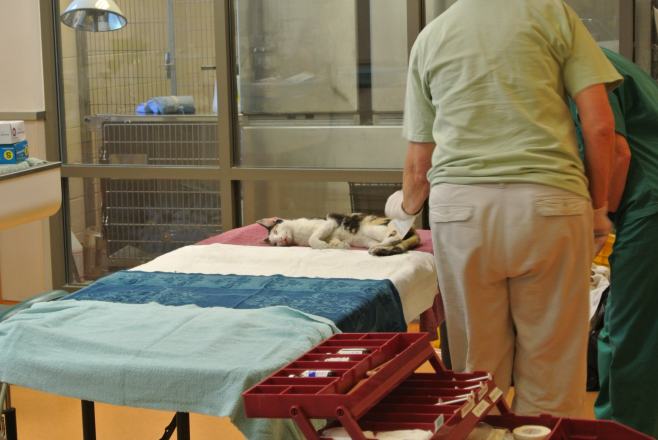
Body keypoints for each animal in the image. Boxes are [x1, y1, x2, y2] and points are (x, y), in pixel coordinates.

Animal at [256, 213, 420, 256]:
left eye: (276, 231)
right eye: (276, 243)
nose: (281, 239)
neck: (297, 236)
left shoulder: (329, 222)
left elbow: (312, 239)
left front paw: (322, 245)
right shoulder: (332, 235)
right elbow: (334, 242)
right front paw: (340, 245)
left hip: (369, 227)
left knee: (395, 236)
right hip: (367, 240)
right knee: (397, 245)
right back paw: (378, 249)